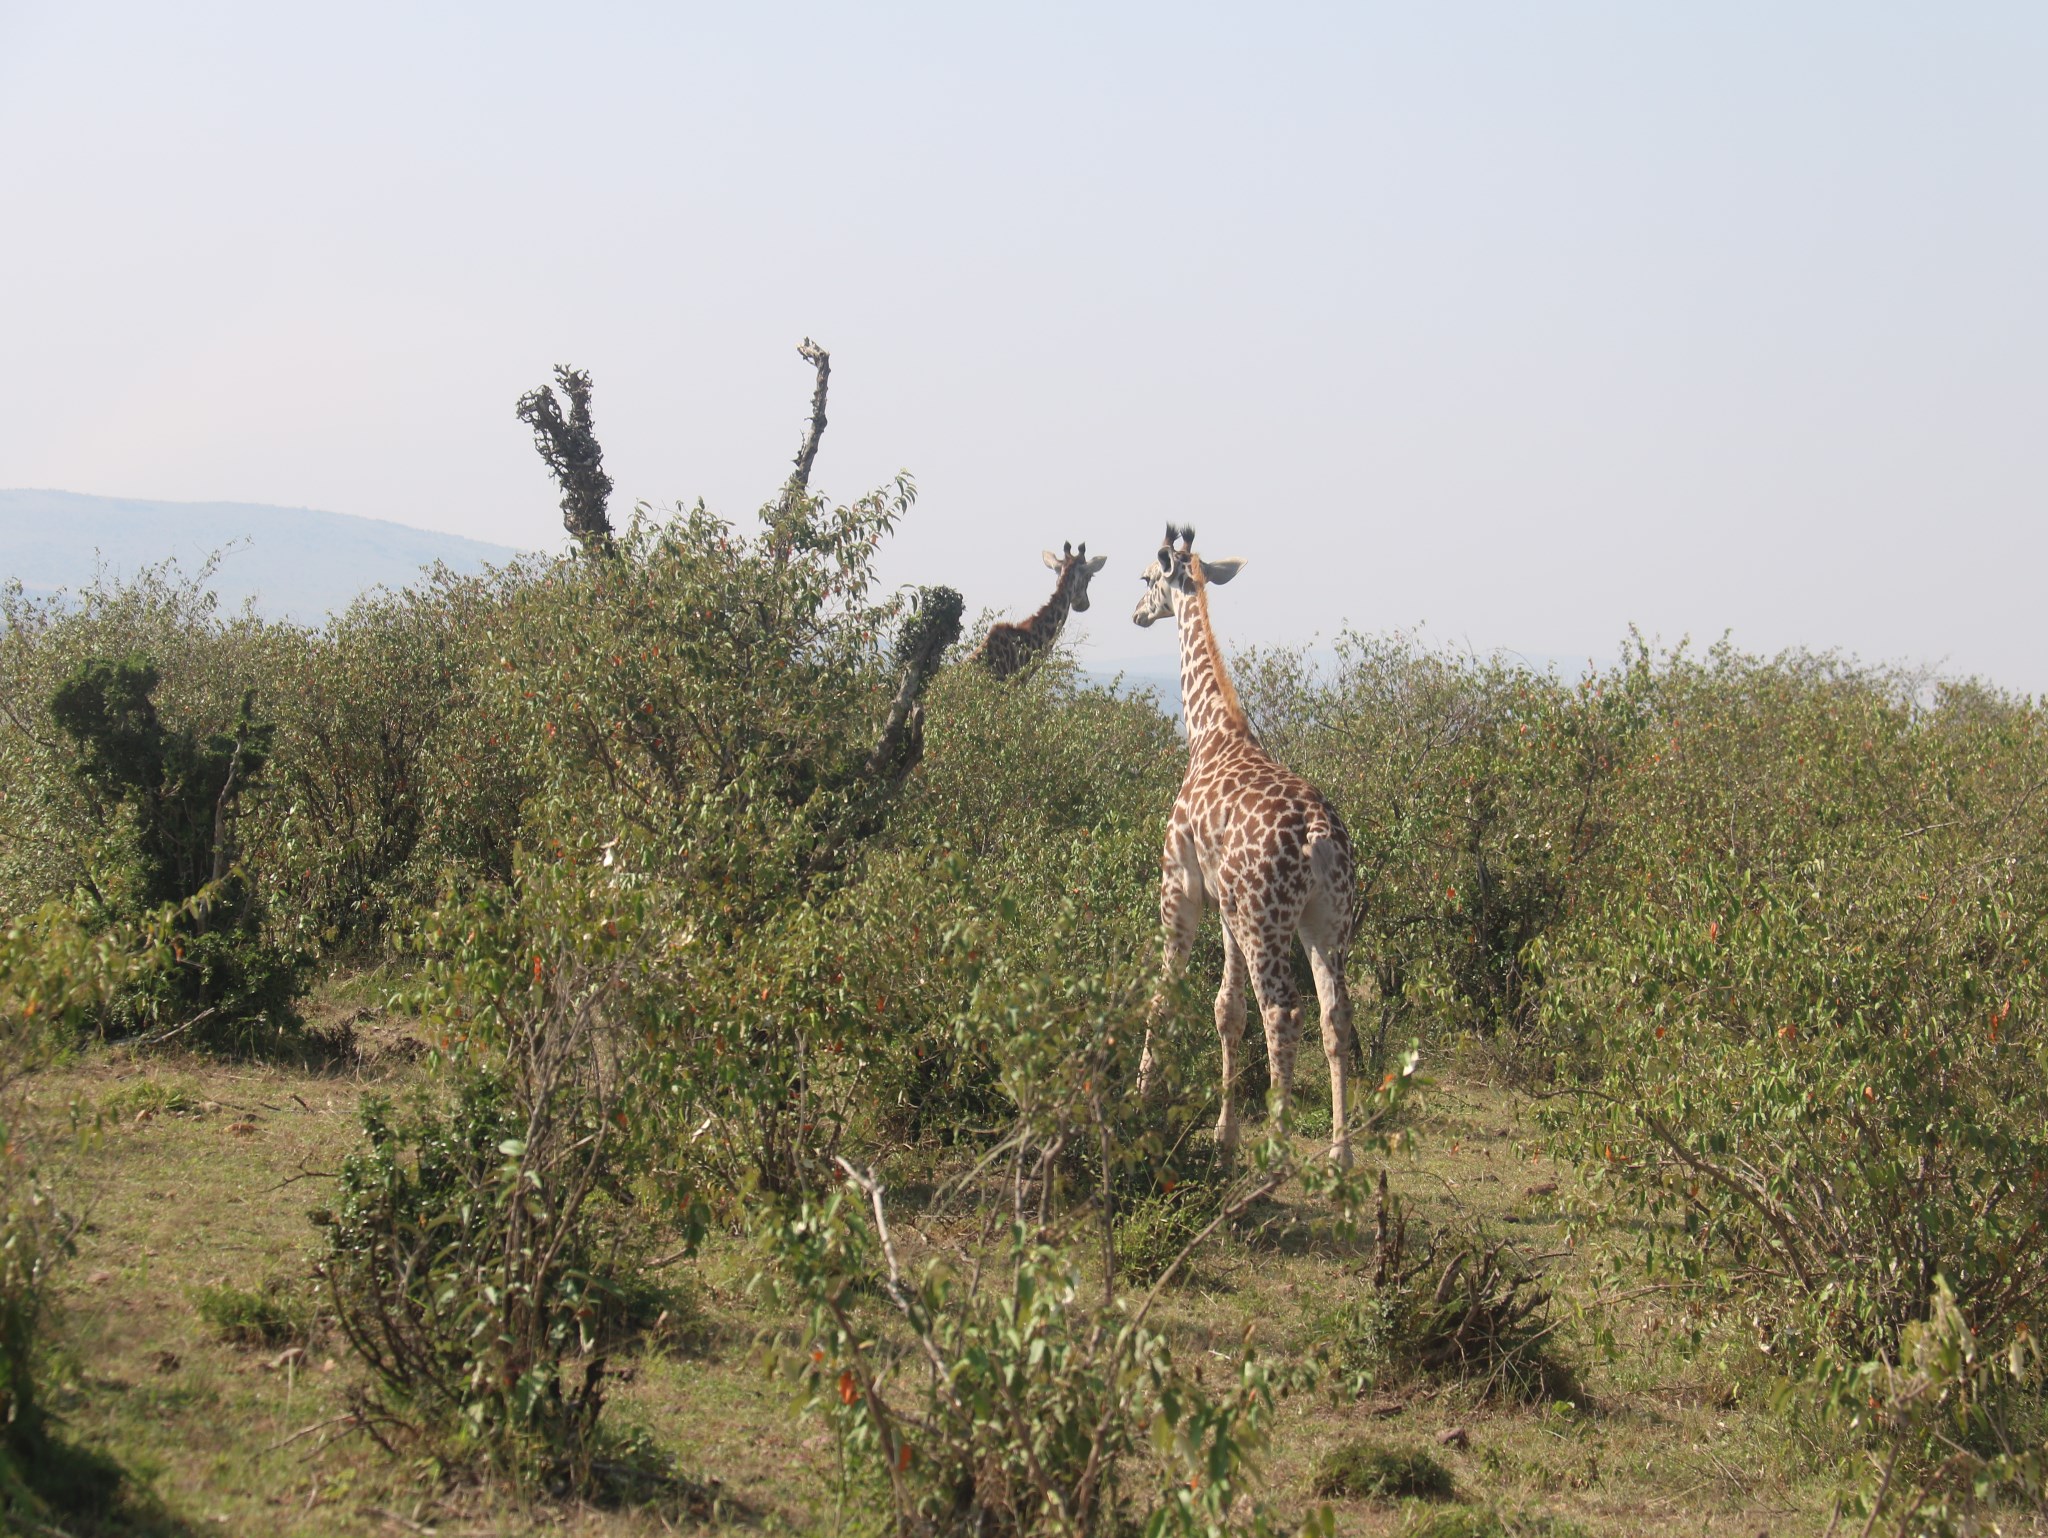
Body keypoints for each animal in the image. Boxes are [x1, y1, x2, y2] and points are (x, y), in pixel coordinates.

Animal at [1138, 524, 1359, 1163]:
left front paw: (1140, 1099)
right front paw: (1224, 1133)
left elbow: (1165, 995)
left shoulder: (1182, 887)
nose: (1137, 612)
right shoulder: (1226, 908)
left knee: (1283, 1016)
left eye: (1146, 578)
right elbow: (1225, 1010)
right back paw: (1340, 1153)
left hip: (1269, 922)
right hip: (1325, 921)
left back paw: (1278, 1153)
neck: (1211, 731)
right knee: (1335, 1017)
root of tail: (1318, 837)